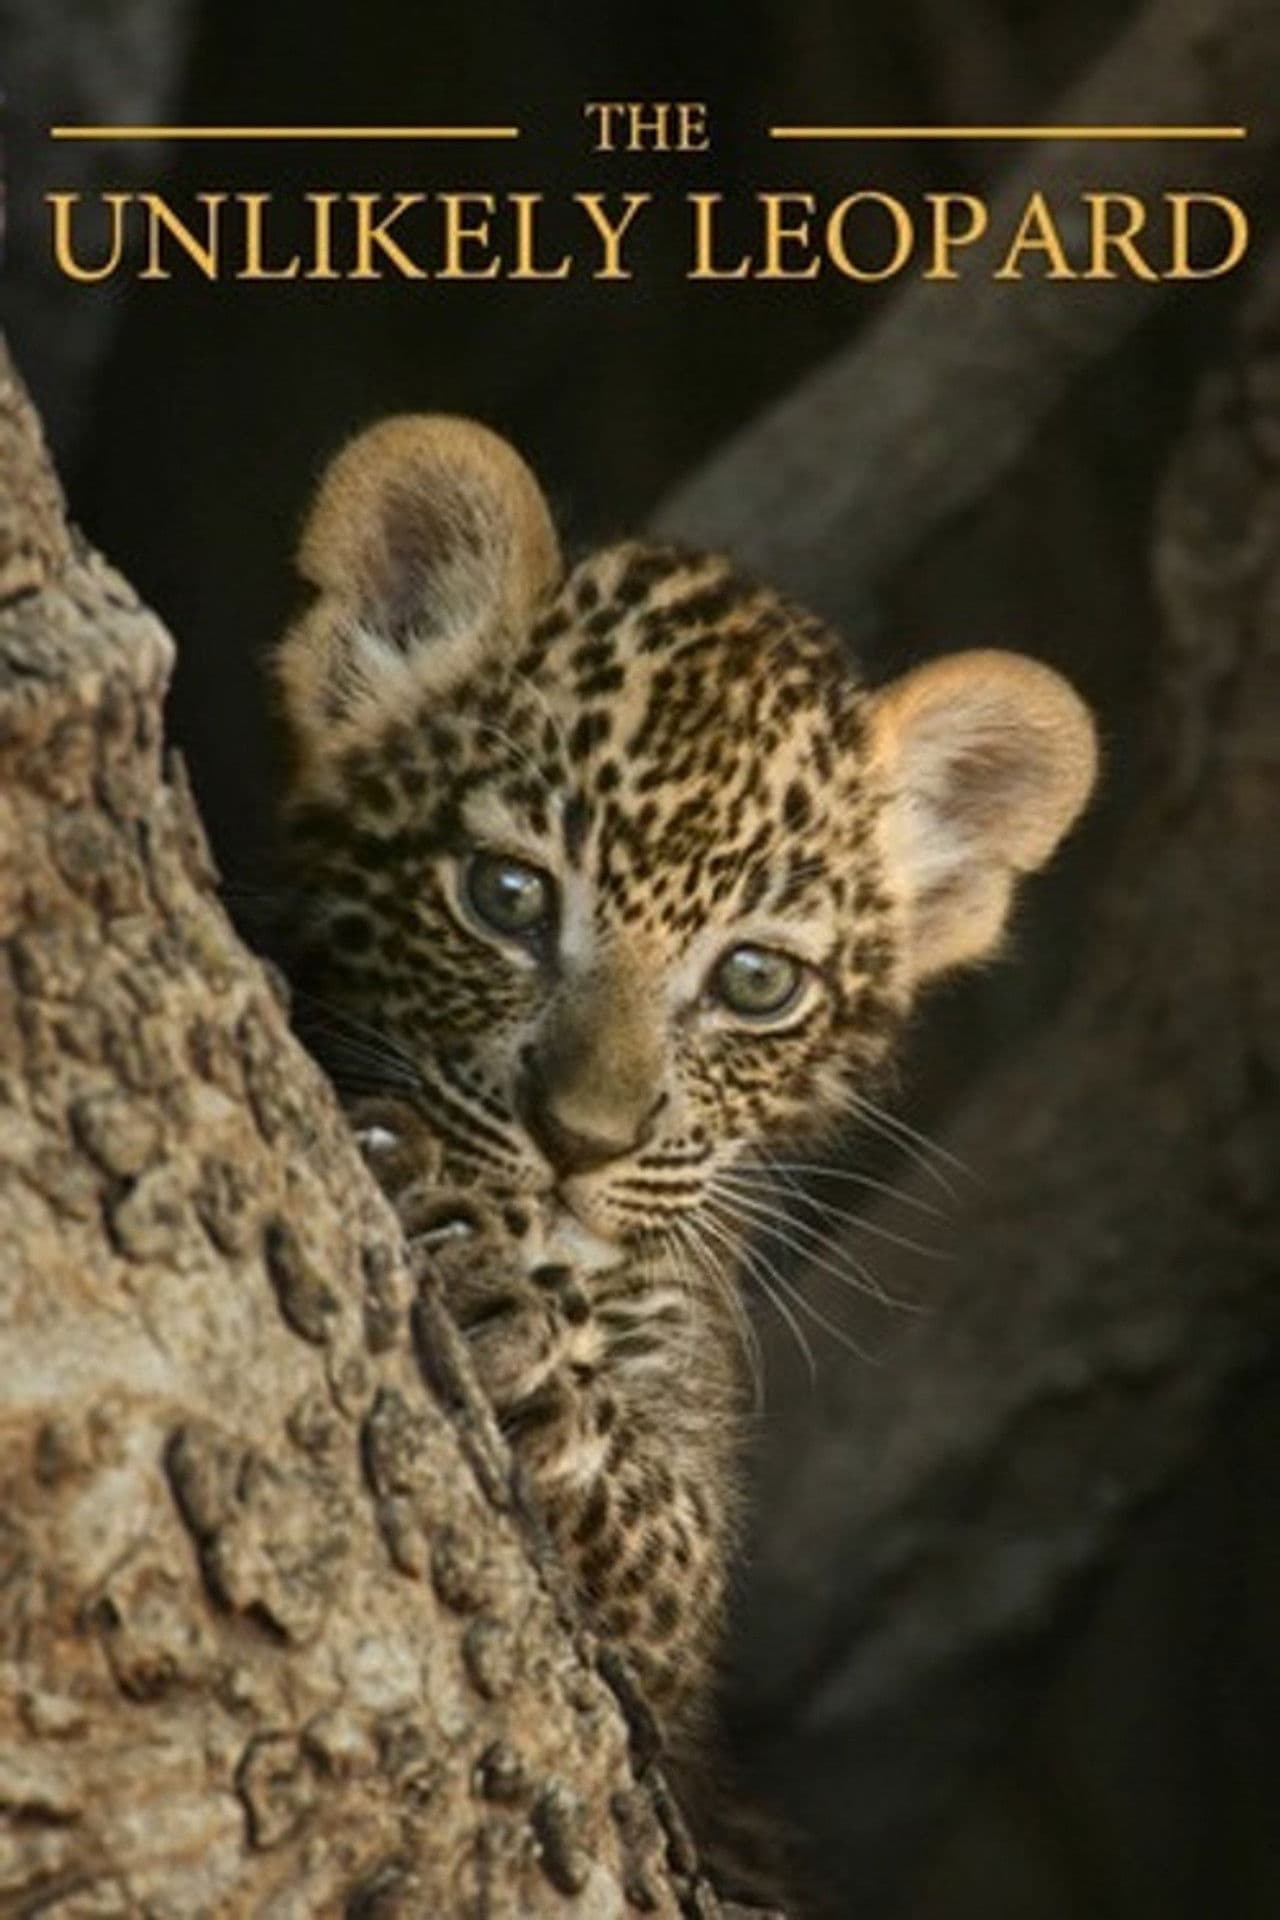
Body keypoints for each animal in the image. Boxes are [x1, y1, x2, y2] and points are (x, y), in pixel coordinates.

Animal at [271, 413, 1097, 1789]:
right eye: (505, 896)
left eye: (754, 981)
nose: (577, 1142)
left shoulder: (673, 1626)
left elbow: (654, 1521)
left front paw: (491, 1301)